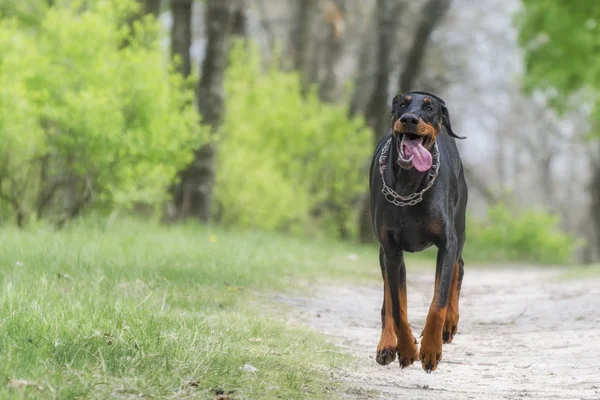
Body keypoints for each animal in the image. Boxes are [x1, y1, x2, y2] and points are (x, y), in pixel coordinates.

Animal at [368, 90, 466, 372]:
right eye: (402, 104)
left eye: (430, 108)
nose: (409, 119)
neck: (409, 185)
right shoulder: (391, 250)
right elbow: (397, 307)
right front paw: (407, 349)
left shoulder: (446, 243)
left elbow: (438, 303)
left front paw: (431, 348)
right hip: (383, 253)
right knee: (388, 301)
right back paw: (387, 345)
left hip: (460, 227)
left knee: (459, 267)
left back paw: (449, 325)